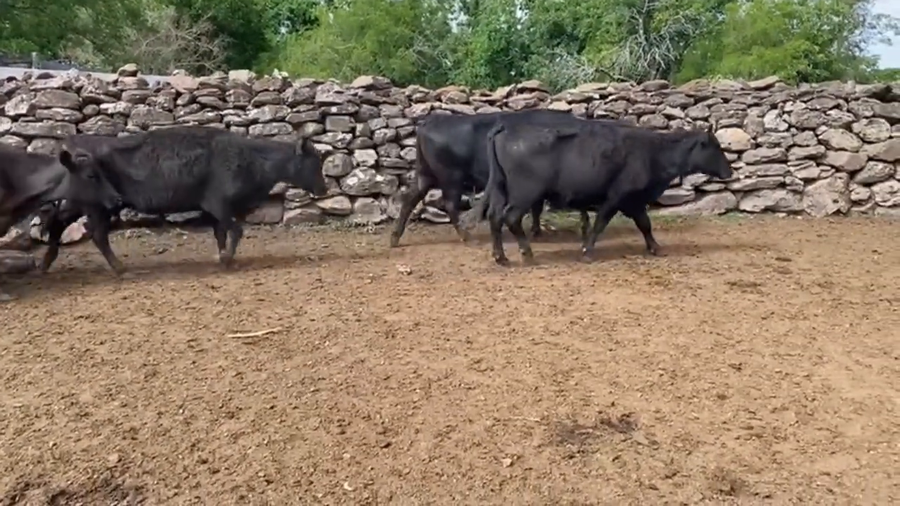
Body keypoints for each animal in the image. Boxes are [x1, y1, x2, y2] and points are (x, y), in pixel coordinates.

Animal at [56, 126, 328, 275]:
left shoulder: (219, 212)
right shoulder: (219, 204)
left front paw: (221, 258)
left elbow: (221, 233)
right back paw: (119, 268)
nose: (324, 189)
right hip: (97, 208)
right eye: (315, 162)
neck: (252, 158)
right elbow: (236, 231)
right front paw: (226, 259)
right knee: (99, 236)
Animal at [389, 108, 595, 248]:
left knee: (409, 199)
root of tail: (431, 121)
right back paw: (467, 237)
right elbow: (536, 207)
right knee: (450, 205)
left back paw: (394, 238)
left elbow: (536, 208)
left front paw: (537, 231)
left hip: (424, 175)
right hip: (451, 179)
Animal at [482, 121, 733, 265]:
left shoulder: (634, 201)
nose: (729, 171)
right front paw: (587, 251)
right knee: (511, 218)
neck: (652, 151)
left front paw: (655, 247)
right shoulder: (618, 197)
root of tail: (507, 128)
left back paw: (500, 256)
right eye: (716, 147)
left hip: (502, 190)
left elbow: (645, 224)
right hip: (525, 194)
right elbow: (600, 223)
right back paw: (527, 254)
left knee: (495, 218)